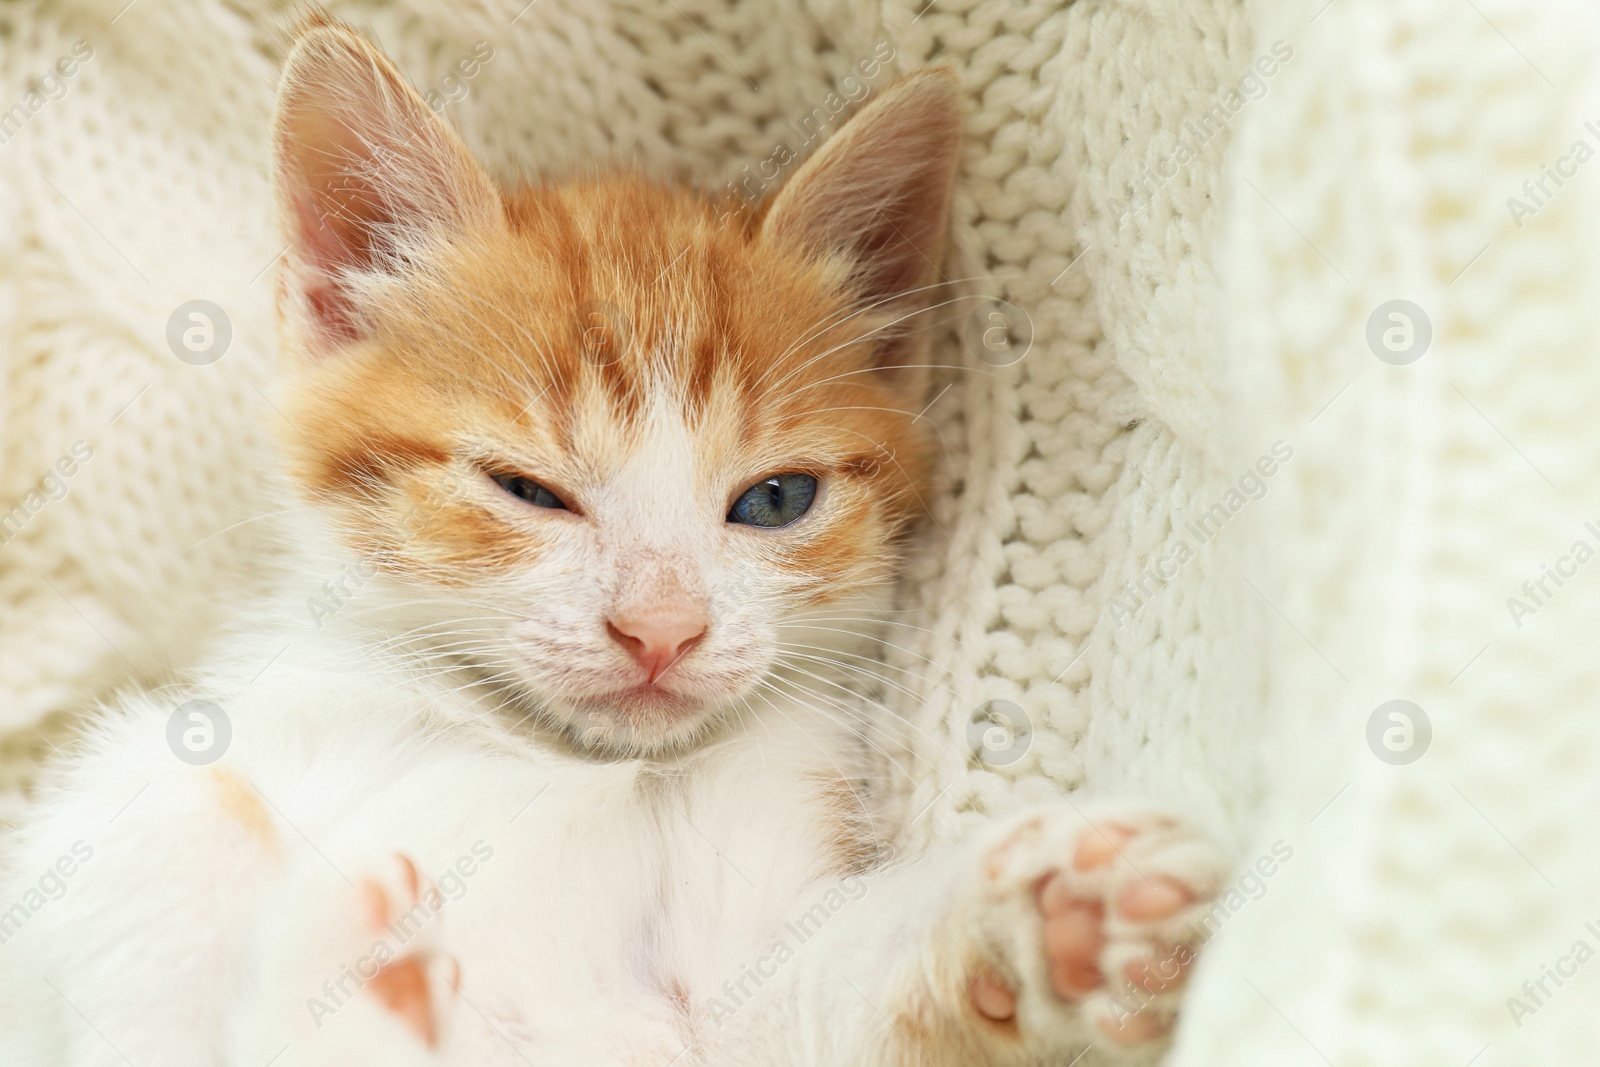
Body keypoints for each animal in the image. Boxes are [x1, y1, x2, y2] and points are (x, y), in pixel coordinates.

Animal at [0, 18, 1222, 1067]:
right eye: (527, 489)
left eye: (775, 500)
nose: (661, 629)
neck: (561, 755)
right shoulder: (144, 795)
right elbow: (154, 849)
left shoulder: (734, 982)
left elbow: (822, 997)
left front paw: (1057, 907)